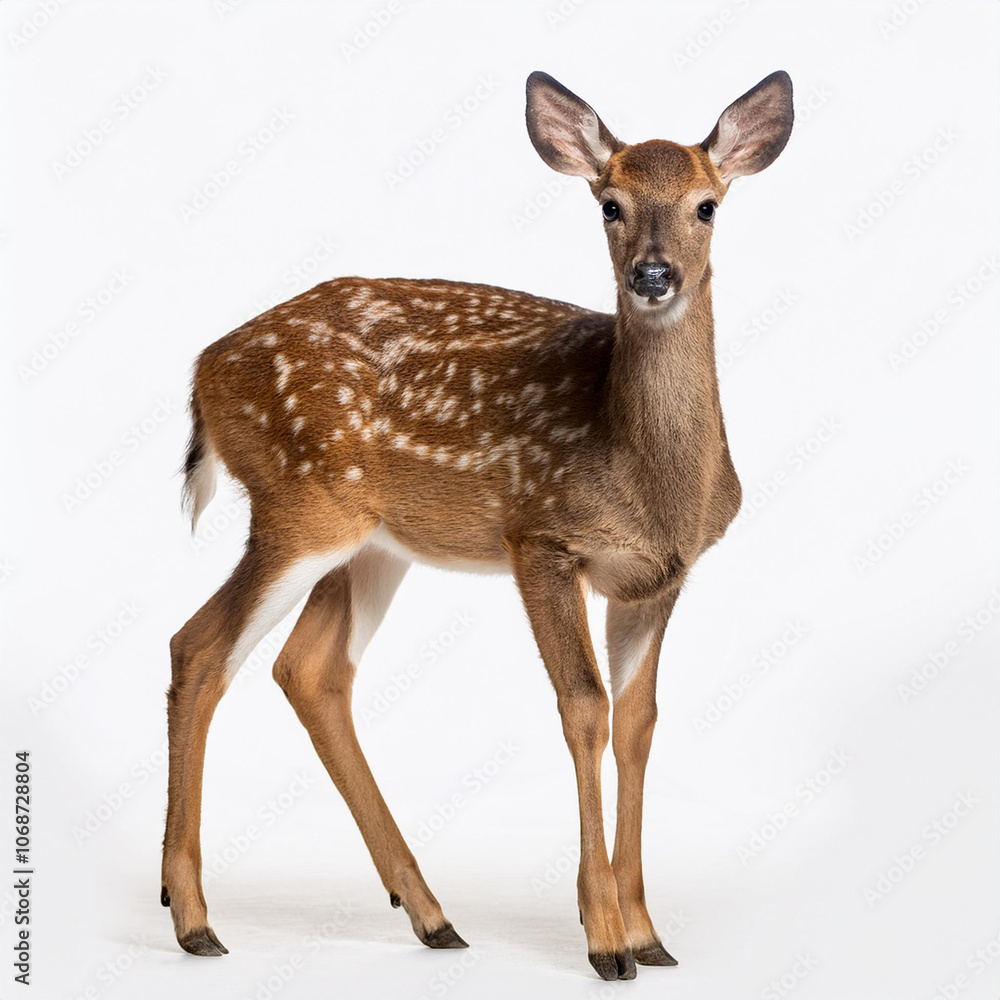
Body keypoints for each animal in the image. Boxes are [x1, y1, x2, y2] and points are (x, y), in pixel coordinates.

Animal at [161, 69, 793, 981]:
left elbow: (639, 722)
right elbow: (584, 707)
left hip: (373, 545)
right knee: (201, 648)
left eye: (707, 205)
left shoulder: (658, 577)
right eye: (609, 202)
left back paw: (429, 914)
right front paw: (605, 938)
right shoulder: (540, 538)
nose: (653, 275)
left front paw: (649, 931)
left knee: (307, 669)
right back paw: (194, 919)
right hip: (301, 505)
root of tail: (202, 371)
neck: (650, 483)